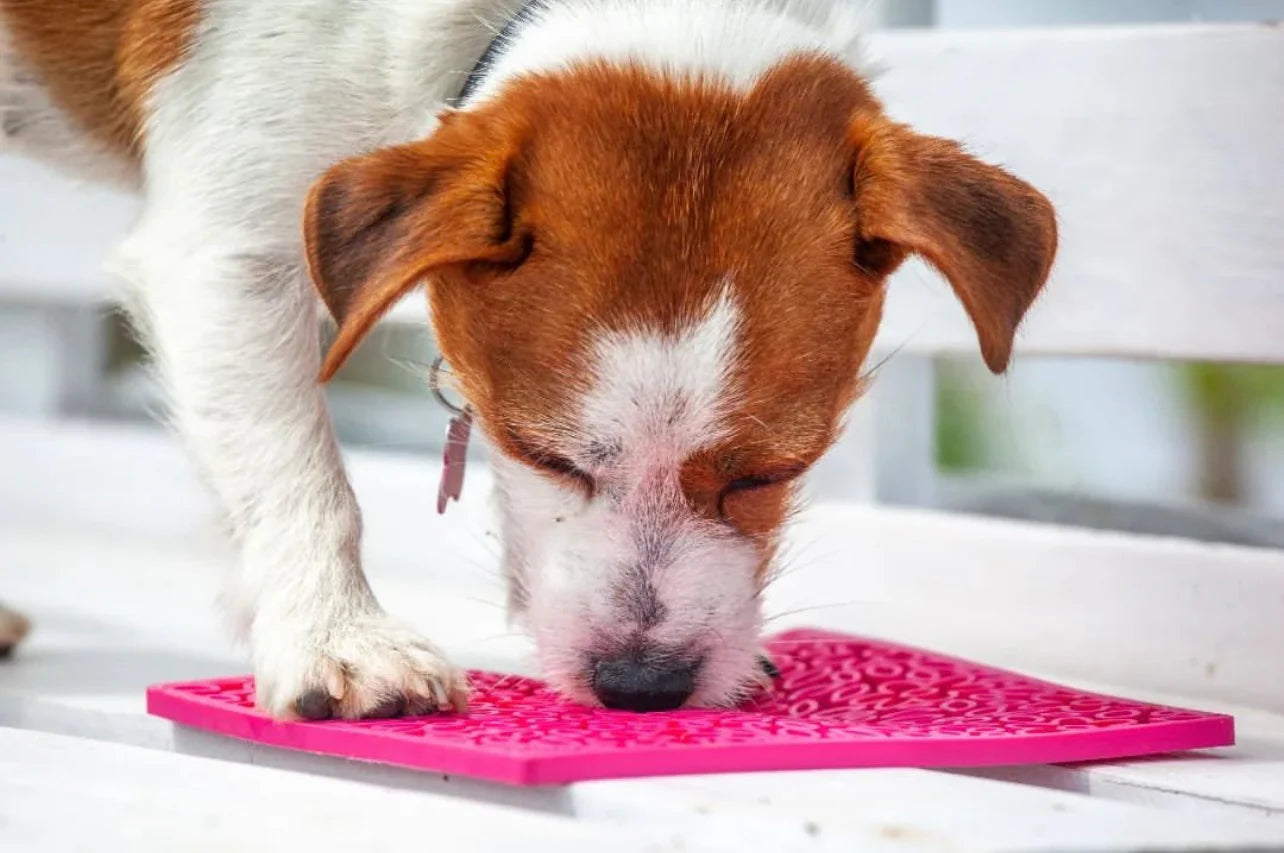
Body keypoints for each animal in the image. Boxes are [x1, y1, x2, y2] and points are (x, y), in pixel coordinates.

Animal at [0, 0, 1058, 719]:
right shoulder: (227, 255)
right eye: (544, 451)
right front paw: (338, 636)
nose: (641, 684)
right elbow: (300, 471)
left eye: (771, 472)